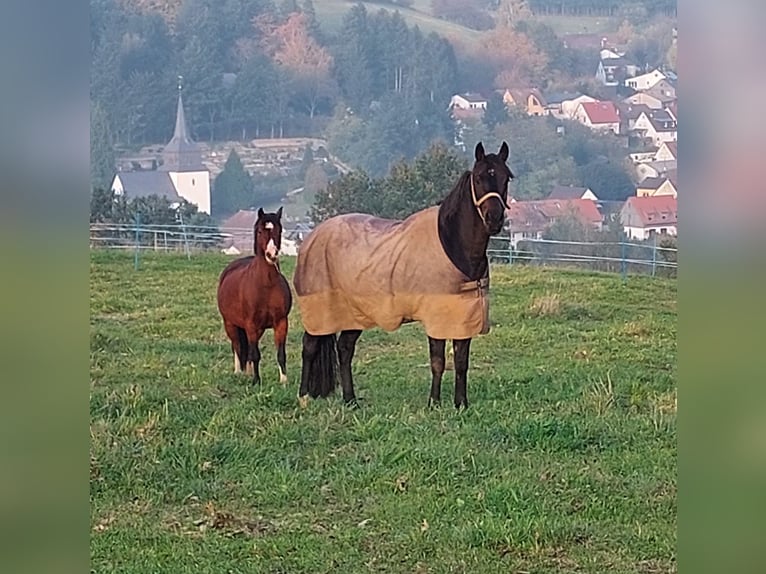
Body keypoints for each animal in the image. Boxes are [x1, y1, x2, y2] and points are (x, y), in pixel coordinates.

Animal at [216, 207, 294, 388]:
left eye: (279, 230)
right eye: (260, 231)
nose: (272, 254)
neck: (266, 284)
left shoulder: (281, 323)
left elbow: (280, 354)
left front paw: (284, 381)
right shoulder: (251, 325)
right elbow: (254, 353)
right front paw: (256, 381)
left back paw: (248, 372)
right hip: (230, 324)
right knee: (237, 346)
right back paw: (239, 372)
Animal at [294, 142, 516, 410]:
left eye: (506, 178)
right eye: (480, 177)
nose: (494, 219)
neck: (453, 244)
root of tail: (312, 236)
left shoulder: (463, 316)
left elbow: (462, 363)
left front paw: (461, 404)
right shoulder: (436, 317)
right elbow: (438, 362)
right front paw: (434, 403)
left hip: (356, 312)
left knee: (344, 349)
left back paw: (351, 400)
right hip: (321, 308)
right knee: (310, 346)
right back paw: (304, 397)